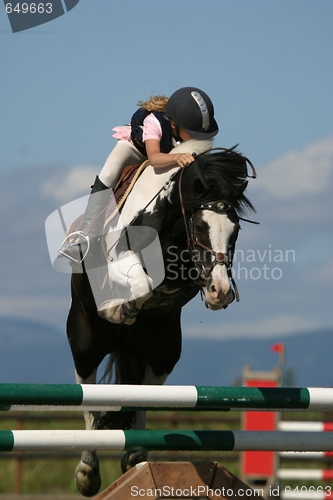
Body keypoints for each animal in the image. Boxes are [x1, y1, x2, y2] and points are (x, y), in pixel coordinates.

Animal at [65, 138, 256, 496]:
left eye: (235, 230)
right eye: (200, 226)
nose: (220, 291)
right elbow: (140, 281)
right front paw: (117, 306)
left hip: (162, 351)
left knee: (143, 393)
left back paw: (136, 456)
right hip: (86, 339)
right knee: (88, 394)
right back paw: (87, 471)